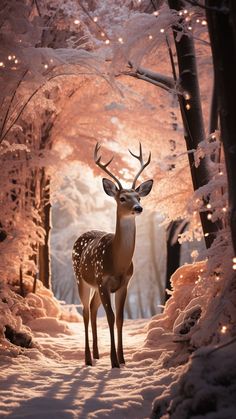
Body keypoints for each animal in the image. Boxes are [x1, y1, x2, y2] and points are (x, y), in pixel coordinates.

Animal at [72, 144, 153, 368]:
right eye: (122, 198)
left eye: (139, 197)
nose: (138, 208)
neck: (117, 263)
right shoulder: (103, 281)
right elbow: (109, 317)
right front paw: (114, 361)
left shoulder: (124, 284)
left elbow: (120, 318)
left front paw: (123, 359)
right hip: (81, 279)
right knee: (84, 311)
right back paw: (88, 358)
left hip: (95, 286)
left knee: (92, 308)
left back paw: (97, 354)